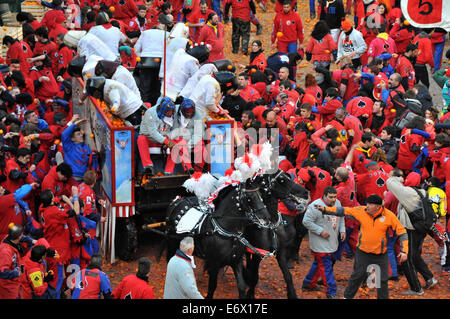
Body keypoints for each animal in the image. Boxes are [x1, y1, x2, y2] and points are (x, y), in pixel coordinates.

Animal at [243, 170, 310, 300]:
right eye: (282, 180)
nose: (305, 192)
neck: (271, 225)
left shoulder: (281, 252)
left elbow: (288, 276)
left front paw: (292, 294)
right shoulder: (258, 254)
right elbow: (254, 277)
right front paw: (250, 293)